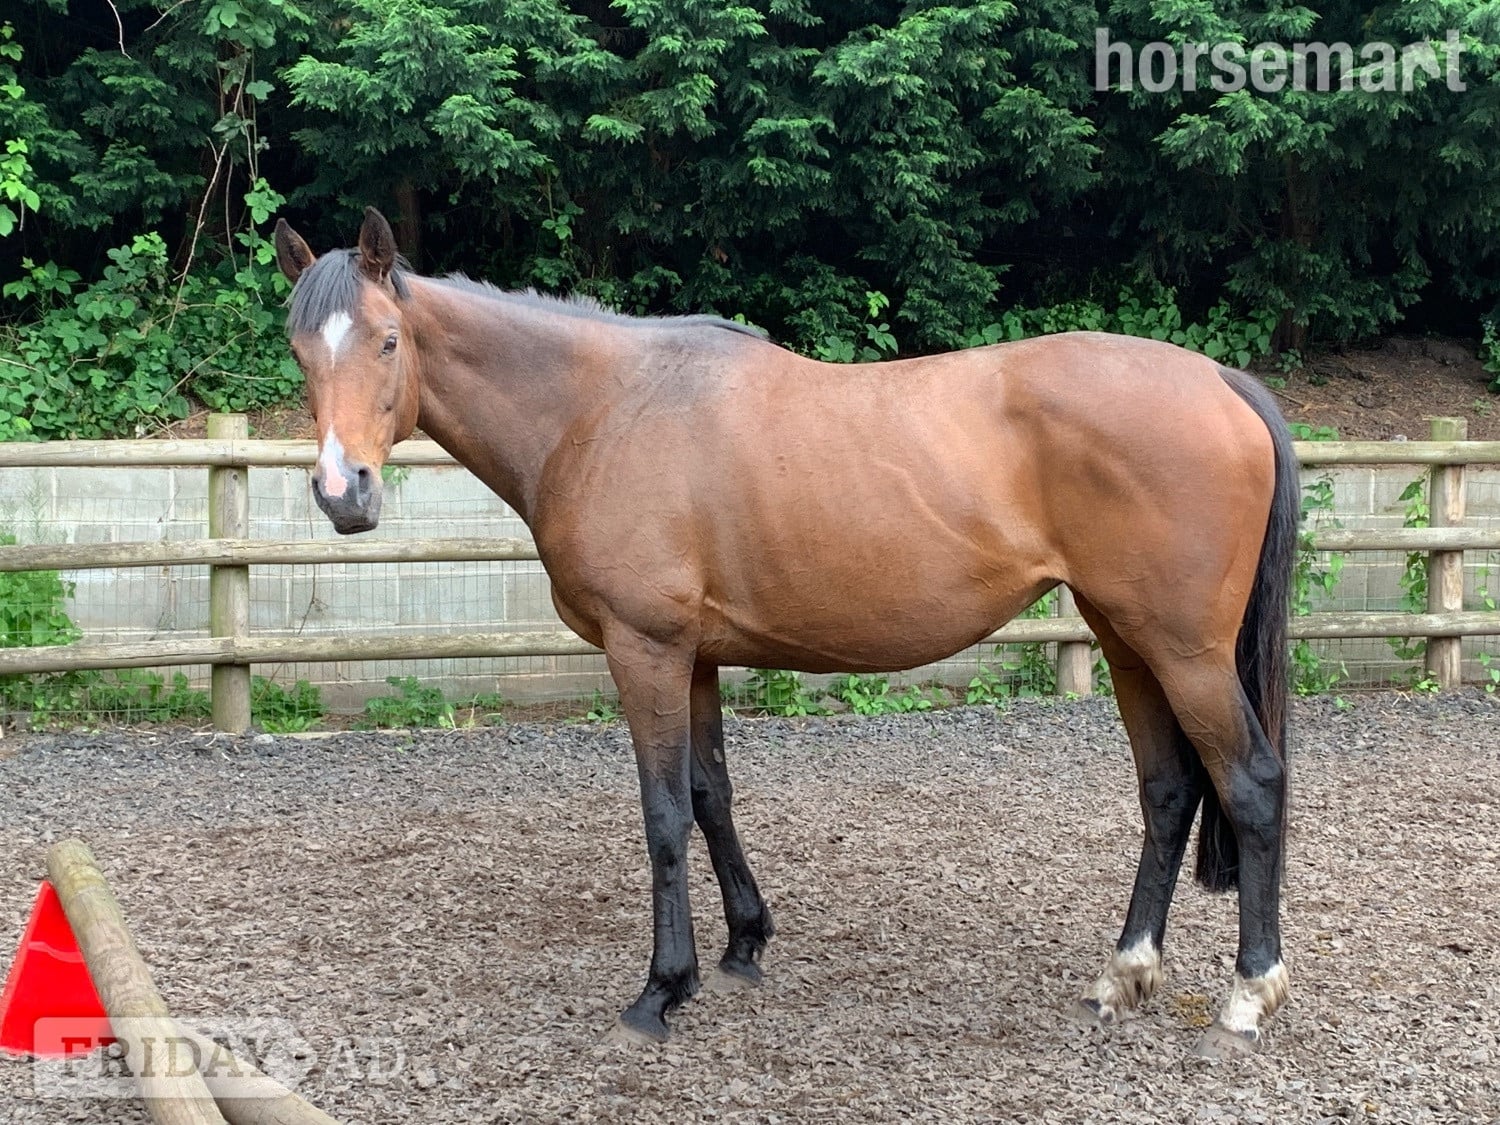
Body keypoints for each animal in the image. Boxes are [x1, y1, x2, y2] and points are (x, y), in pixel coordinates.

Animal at [272, 208, 1298, 1057]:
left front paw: (661, 990)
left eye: (389, 341)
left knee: (1250, 784)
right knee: (1168, 792)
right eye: (301, 352)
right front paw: (744, 944)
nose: (343, 492)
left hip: (1186, 654)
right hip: (1129, 644)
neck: (601, 409)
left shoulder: (644, 649)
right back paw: (1123, 975)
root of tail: (1218, 378)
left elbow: (661, 813)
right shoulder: (692, 657)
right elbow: (709, 795)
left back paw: (1247, 998)